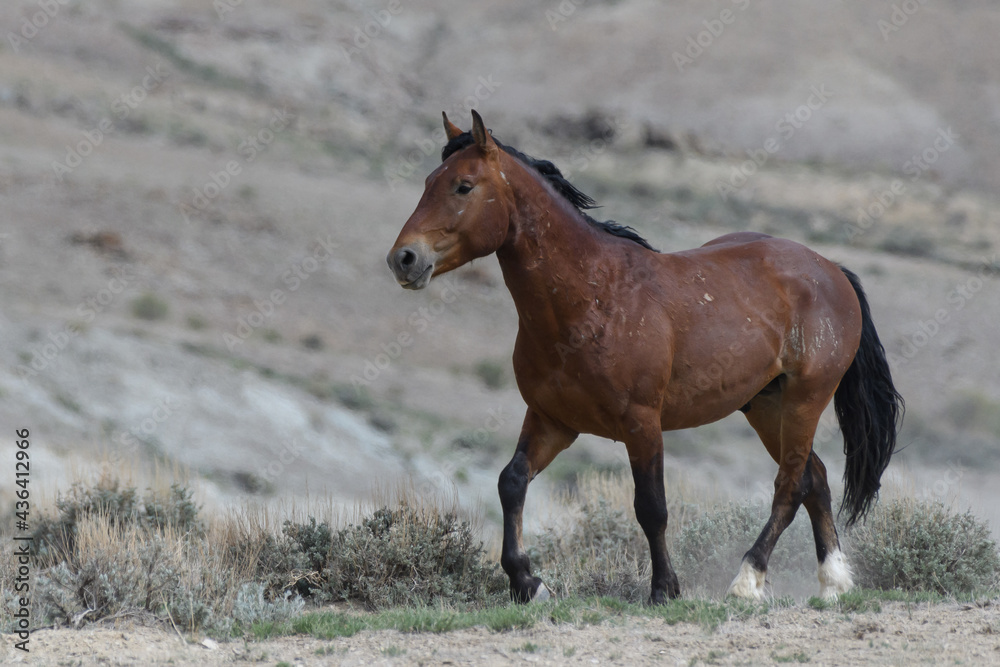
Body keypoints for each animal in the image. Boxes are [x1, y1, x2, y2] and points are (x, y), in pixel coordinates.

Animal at [387, 110, 903, 604]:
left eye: (463, 185)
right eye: (429, 181)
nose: (403, 259)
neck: (593, 297)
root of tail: (831, 269)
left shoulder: (641, 423)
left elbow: (651, 507)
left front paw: (664, 589)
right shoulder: (552, 420)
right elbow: (511, 482)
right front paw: (527, 584)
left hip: (804, 400)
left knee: (791, 485)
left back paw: (747, 581)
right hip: (765, 405)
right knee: (815, 478)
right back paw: (833, 583)